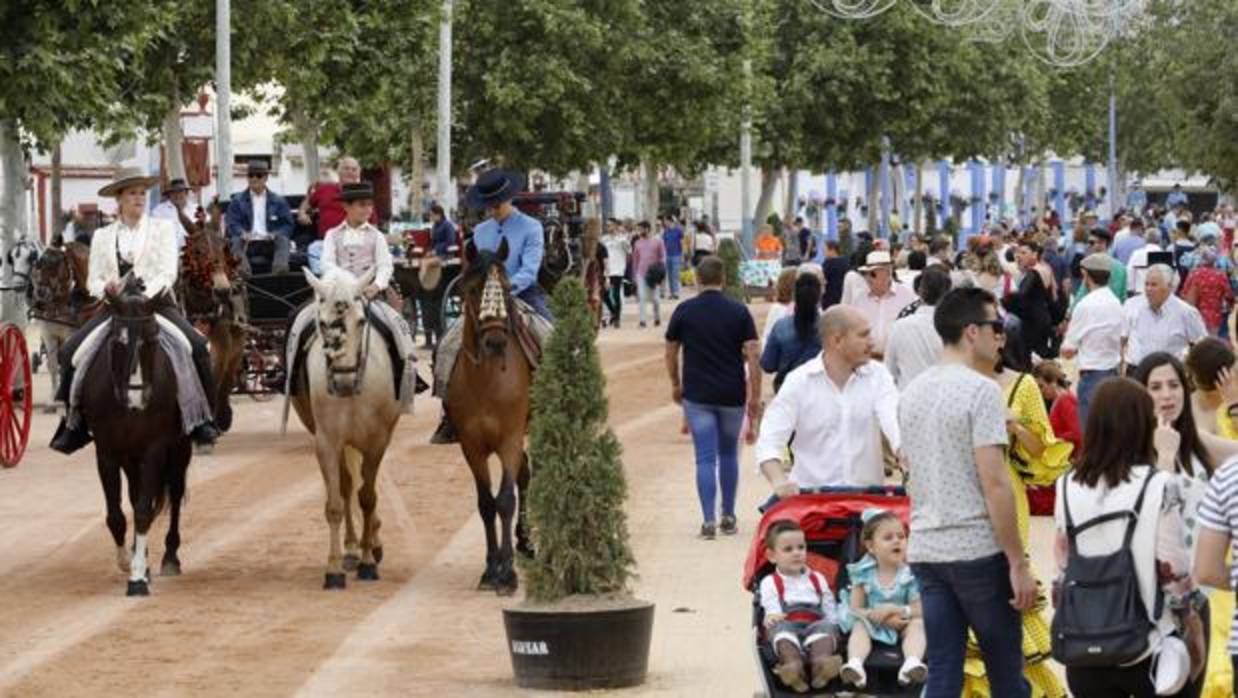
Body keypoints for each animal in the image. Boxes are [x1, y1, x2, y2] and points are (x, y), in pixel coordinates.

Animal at [79, 273, 191, 594]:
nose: (136, 399)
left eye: (152, 339)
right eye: (118, 341)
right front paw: (129, 562)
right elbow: (118, 514)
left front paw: (138, 577)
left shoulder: (155, 449)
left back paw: (170, 557)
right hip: (130, 457)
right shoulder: (107, 452)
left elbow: (142, 511)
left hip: (180, 449)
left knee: (174, 494)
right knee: (136, 494)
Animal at [178, 226, 245, 430]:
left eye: (224, 248)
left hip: (237, 346)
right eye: (197, 251)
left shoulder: (220, 348)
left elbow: (215, 379)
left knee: (228, 377)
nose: (223, 290)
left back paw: (223, 416)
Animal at [288, 267, 396, 589]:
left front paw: (368, 562)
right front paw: (334, 568)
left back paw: (371, 544)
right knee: (348, 487)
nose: (344, 381)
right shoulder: (327, 442)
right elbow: (336, 503)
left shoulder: (376, 442)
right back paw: (351, 549)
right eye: (322, 324)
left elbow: (368, 497)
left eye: (361, 321)